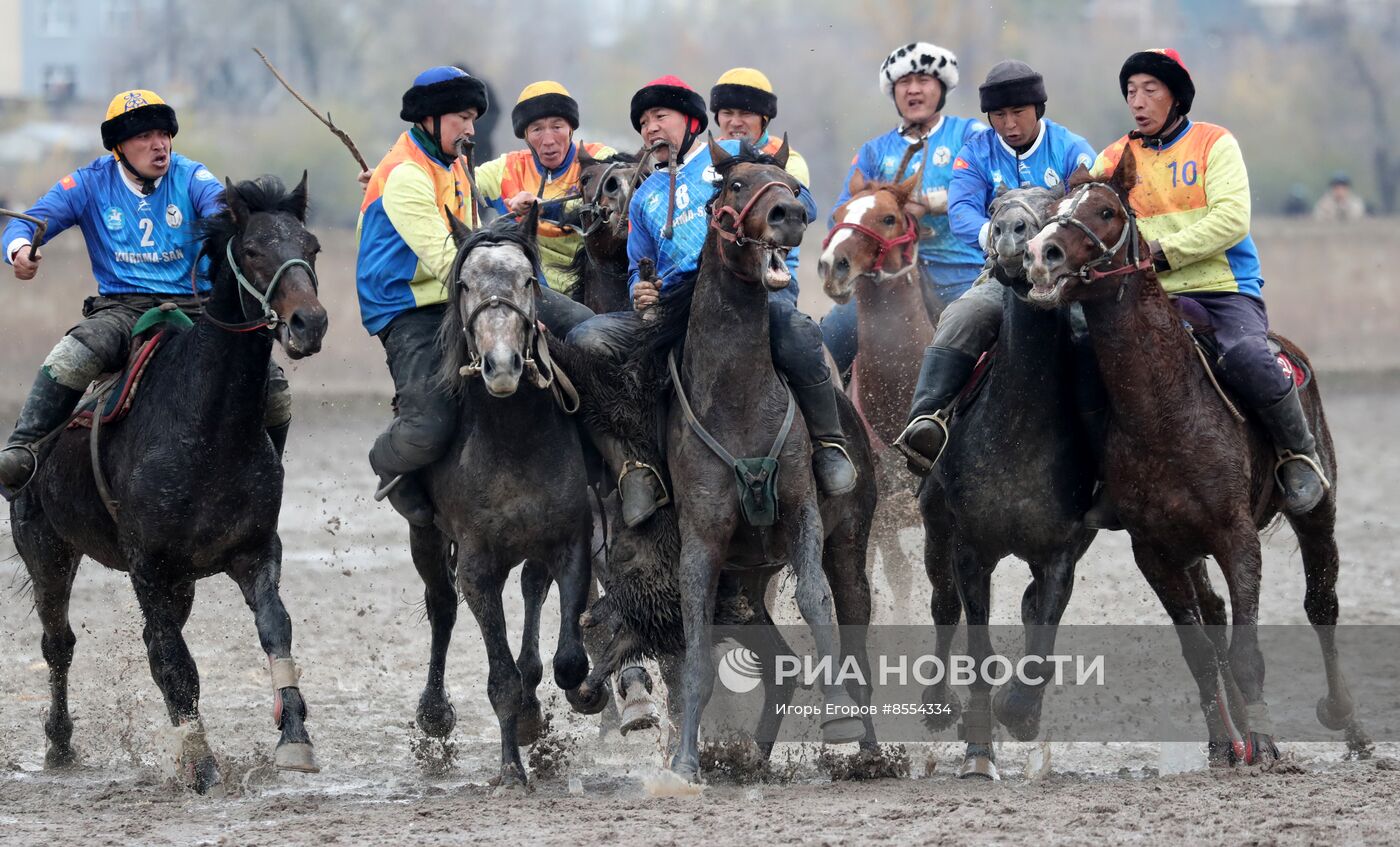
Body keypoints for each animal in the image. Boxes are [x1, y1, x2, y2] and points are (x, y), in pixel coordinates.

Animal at [9, 173, 329, 795]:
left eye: (312, 245)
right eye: (252, 250)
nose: (310, 323)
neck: (207, 430)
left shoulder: (255, 551)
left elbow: (275, 628)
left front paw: (295, 738)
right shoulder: (148, 566)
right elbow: (175, 665)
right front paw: (201, 764)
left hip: (179, 582)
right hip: (47, 551)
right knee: (59, 644)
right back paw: (59, 744)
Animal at [408, 208, 596, 789]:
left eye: (529, 280)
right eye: (465, 284)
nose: (503, 365)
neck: (515, 441)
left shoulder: (571, 542)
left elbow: (568, 662)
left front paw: (555, 709)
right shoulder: (477, 566)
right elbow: (500, 677)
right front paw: (511, 767)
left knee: (533, 591)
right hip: (425, 537)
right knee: (441, 606)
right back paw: (434, 712)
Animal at [912, 186, 1097, 778]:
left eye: (1058, 200)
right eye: (996, 207)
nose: (1016, 233)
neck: (1019, 424)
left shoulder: (1060, 553)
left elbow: (1041, 641)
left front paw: (1019, 713)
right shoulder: (971, 547)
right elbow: (977, 650)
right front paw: (977, 753)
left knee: (1030, 610)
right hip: (936, 532)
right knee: (942, 608)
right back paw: (937, 704)